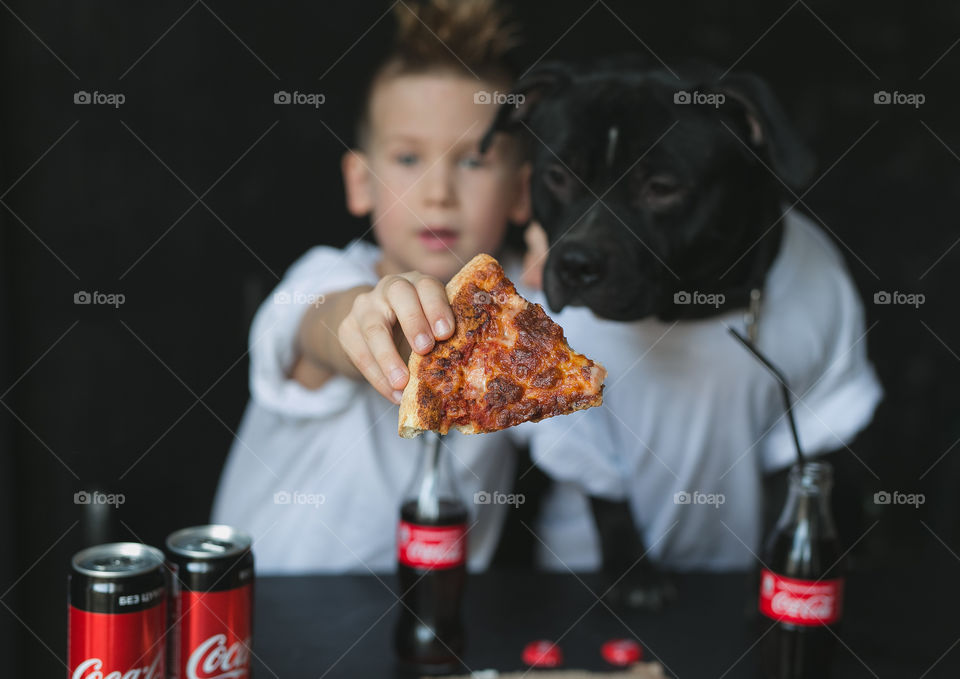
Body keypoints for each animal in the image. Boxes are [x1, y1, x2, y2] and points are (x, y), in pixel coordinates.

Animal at [484, 57, 812, 612]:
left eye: (661, 187)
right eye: (557, 176)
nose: (576, 264)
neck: (683, 312)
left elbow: (780, 495)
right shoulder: (582, 421)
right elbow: (610, 501)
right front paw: (634, 576)